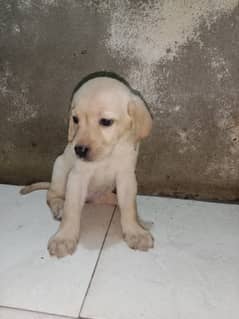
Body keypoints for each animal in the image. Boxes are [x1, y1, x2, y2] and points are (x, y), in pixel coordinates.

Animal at [22, 75, 153, 258]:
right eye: (75, 119)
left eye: (106, 122)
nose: (79, 150)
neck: (108, 155)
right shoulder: (78, 176)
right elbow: (71, 210)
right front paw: (64, 238)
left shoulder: (126, 175)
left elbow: (128, 206)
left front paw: (135, 232)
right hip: (59, 167)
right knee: (52, 195)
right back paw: (59, 206)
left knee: (117, 201)